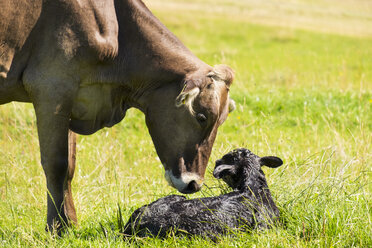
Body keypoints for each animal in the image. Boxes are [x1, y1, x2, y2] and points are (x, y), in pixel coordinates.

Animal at [0, 0, 234, 232]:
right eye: (202, 117)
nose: (194, 183)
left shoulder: (70, 98)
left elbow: (69, 166)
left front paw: (71, 224)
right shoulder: (51, 89)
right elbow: (56, 164)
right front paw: (56, 228)